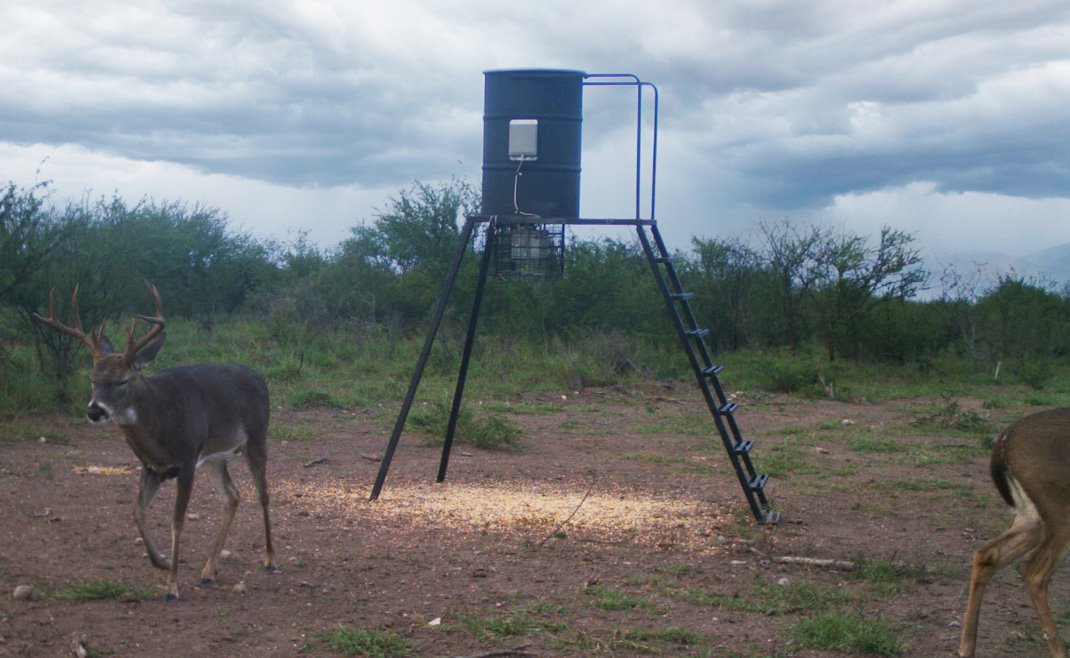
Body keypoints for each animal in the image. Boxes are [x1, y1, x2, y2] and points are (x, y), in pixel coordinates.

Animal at [33, 280, 276, 599]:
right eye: (91, 379)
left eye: (122, 380)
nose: (94, 410)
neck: (159, 425)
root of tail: (259, 376)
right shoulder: (152, 467)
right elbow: (136, 511)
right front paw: (162, 561)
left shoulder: (186, 459)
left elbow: (177, 521)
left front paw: (172, 586)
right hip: (216, 455)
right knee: (233, 495)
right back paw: (208, 571)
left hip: (257, 436)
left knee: (263, 493)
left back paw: (270, 559)